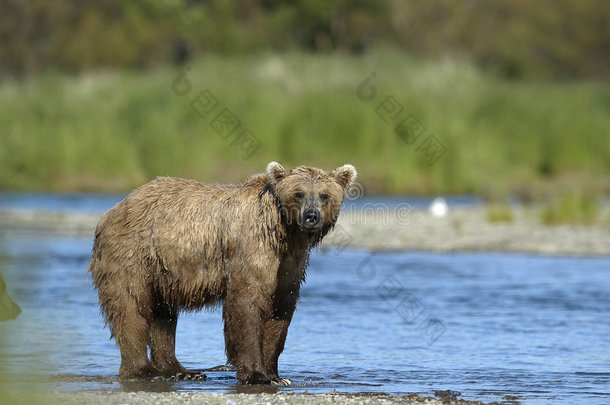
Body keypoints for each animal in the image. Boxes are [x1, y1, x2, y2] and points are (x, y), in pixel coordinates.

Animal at [89, 160, 356, 382]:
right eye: (299, 193)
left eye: (324, 195)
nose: (311, 216)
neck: (283, 233)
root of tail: (114, 209)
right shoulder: (249, 248)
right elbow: (246, 304)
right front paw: (257, 374)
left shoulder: (290, 266)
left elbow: (280, 310)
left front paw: (276, 374)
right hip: (133, 254)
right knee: (131, 307)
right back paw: (144, 370)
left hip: (164, 272)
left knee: (163, 315)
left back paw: (180, 371)